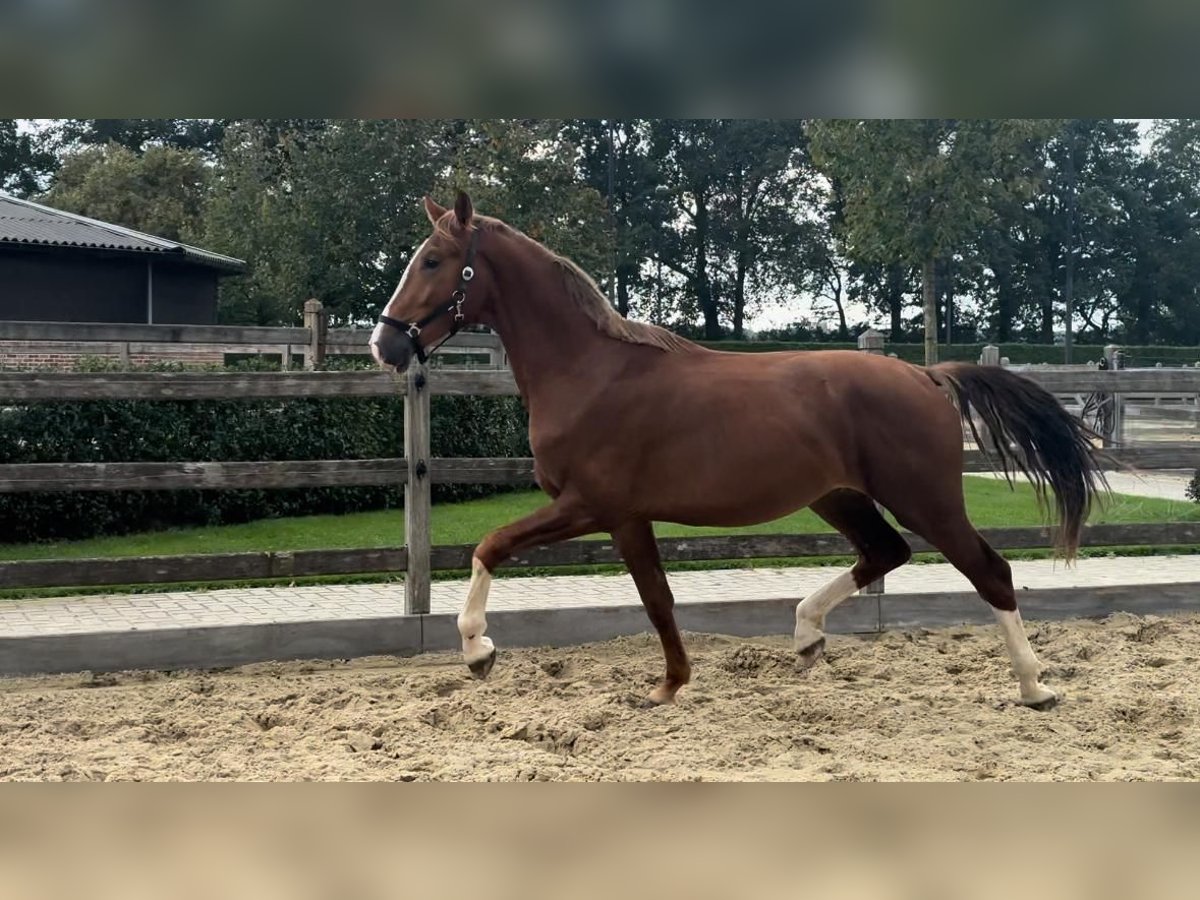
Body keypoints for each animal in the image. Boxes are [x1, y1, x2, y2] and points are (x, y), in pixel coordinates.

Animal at [367, 192, 1104, 710]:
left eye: (432, 261)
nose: (385, 344)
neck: (591, 371)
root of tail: (925, 375)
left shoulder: (594, 507)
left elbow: (492, 547)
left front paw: (478, 651)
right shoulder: (626, 517)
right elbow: (657, 598)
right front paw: (670, 685)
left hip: (925, 498)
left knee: (990, 571)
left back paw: (1035, 687)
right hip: (839, 497)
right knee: (885, 552)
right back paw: (806, 635)